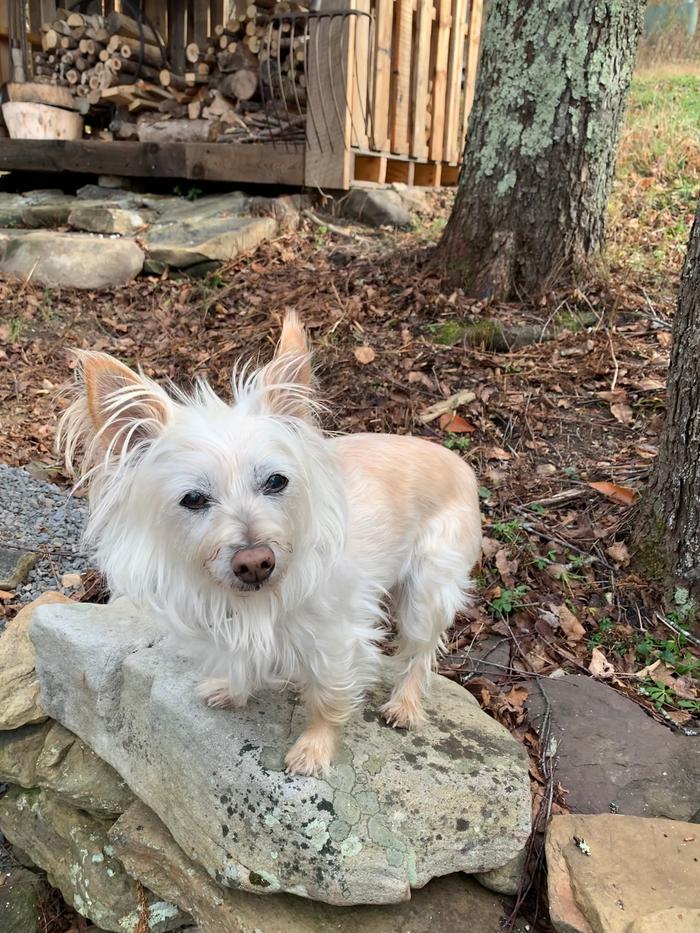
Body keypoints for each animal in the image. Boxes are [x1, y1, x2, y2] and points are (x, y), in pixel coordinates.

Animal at [61, 316, 482, 776]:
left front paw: (315, 748)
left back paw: (405, 704)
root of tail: (461, 465)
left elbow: (329, 696)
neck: (257, 600)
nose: (255, 562)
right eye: (193, 499)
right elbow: (242, 660)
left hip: (426, 592)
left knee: (420, 652)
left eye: (276, 481)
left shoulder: (337, 639)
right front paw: (233, 688)